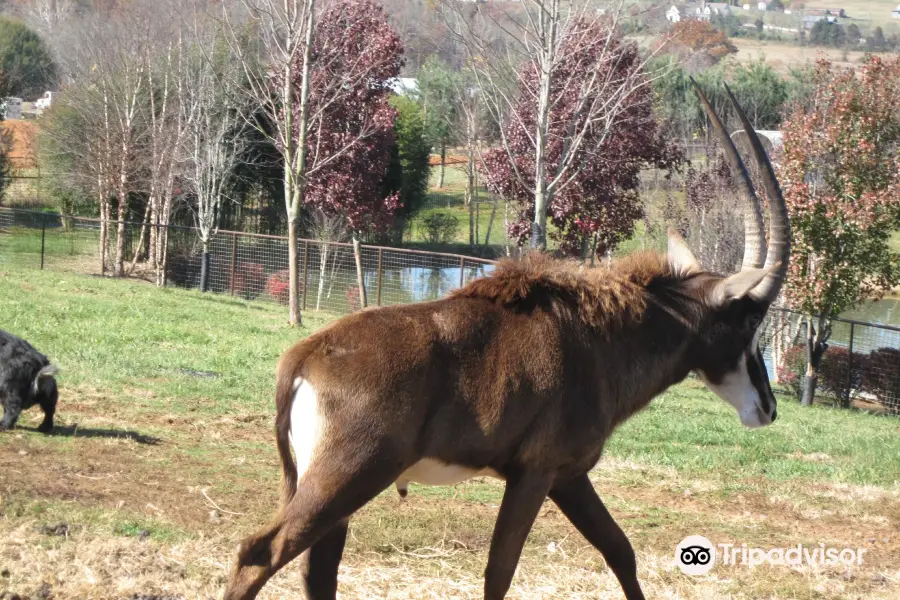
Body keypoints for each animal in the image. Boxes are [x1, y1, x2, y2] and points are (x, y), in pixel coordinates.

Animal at [223, 81, 788, 600]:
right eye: (750, 321)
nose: (768, 409)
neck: (600, 341)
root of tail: (302, 359)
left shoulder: (568, 477)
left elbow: (620, 551)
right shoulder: (535, 473)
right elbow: (500, 573)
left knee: (316, 572)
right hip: (349, 477)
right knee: (259, 553)